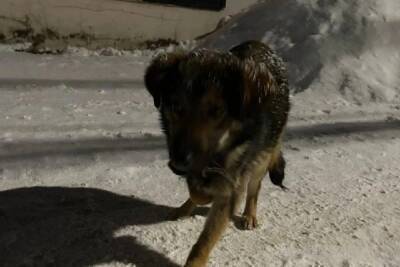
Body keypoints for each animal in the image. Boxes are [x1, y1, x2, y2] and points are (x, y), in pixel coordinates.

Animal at [145, 40, 290, 267]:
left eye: (216, 111)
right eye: (176, 106)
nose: (178, 164)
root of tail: (262, 45)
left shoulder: (231, 180)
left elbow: (204, 242)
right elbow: (197, 191)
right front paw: (202, 196)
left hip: (263, 155)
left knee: (254, 187)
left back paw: (249, 214)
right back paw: (185, 208)